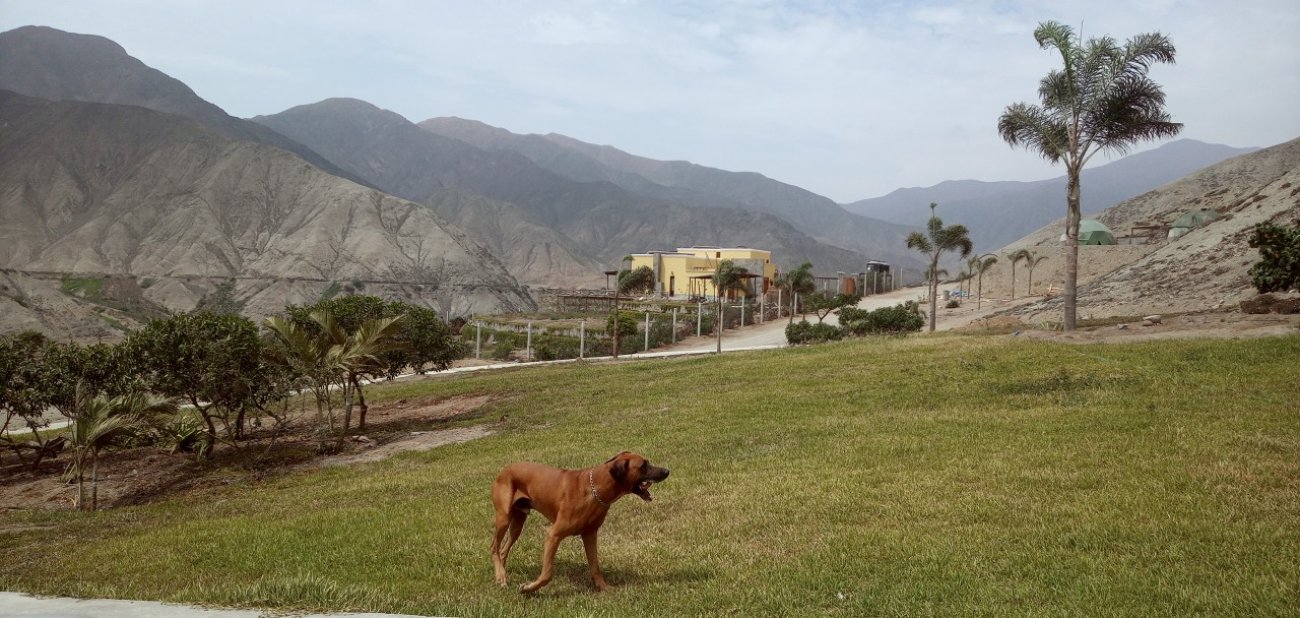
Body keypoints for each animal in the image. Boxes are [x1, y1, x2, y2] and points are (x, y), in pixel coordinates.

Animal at [488, 452, 670, 593]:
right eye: (643, 466)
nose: (667, 471)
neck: (595, 488)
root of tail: (504, 470)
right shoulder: (553, 535)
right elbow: (546, 574)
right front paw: (528, 588)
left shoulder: (590, 535)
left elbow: (595, 567)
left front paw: (604, 588)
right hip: (504, 518)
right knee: (494, 547)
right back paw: (500, 576)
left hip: (518, 523)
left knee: (503, 550)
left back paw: (502, 573)